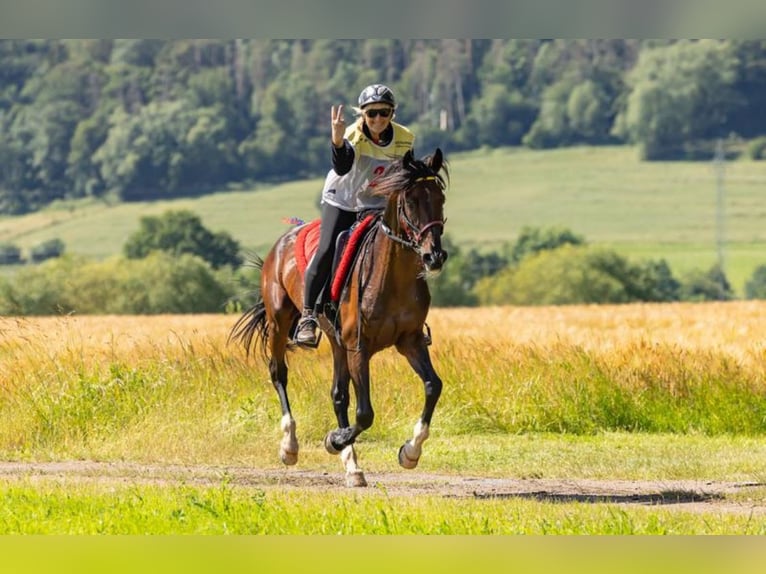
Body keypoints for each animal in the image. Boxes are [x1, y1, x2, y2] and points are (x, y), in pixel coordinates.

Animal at [232, 147, 450, 486]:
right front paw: (334, 440)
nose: (434, 256)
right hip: (280, 321)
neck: (393, 277)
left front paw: (410, 452)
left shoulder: (410, 341)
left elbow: (432, 386)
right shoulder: (358, 346)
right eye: (411, 201)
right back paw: (290, 446)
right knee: (279, 373)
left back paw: (352, 466)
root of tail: (282, 241)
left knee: (338, 394)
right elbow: (365, 413)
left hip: (337, 343)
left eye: (440, 198)